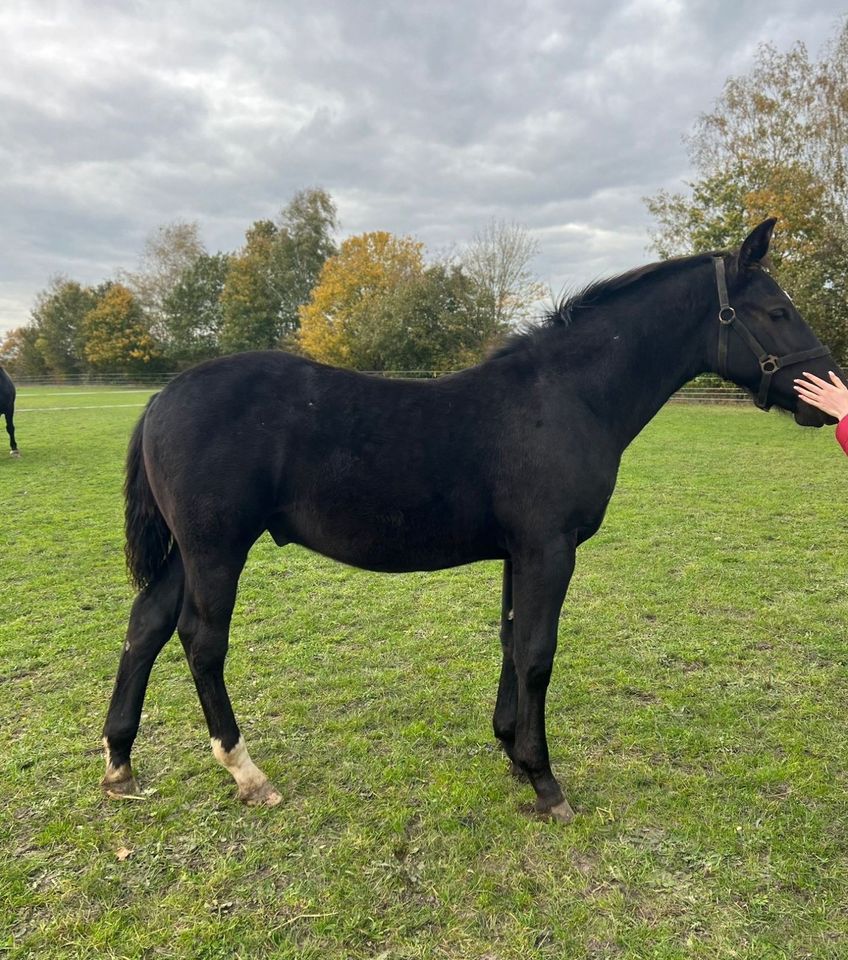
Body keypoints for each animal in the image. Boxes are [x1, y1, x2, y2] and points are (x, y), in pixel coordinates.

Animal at [102, 221, 840, 820]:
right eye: (777, 311)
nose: (828, 394)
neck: (565, 397)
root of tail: (162, 396)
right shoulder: (550, 549)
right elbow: (538, 654)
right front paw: (544, 781)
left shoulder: (520, 552)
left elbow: (511, 642)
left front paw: (512, 751)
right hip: (217, 549)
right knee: (201, 640)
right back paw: (247, 774)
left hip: (187, 552)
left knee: (146, 627)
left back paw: (119, 764)